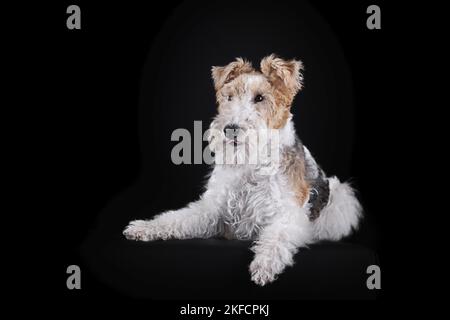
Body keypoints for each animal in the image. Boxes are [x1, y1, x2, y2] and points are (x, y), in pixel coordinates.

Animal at [123, 54, 362, 284]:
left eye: (260, 98)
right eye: (229, 97)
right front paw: (143, 228)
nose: (230, 129)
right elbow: (176, 218)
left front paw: (264, 266)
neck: (250, 163)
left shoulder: (289, 215)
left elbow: (276, 238)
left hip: (341, 197)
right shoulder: (213, 209)